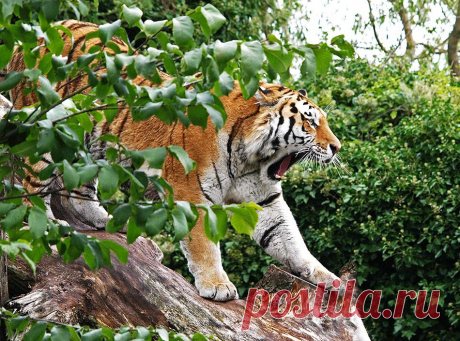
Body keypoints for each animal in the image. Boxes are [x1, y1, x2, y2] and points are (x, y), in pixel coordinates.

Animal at [8, 19, 342, 300]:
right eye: (311, 121)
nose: (337, 147)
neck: (251, 158)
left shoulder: (265, 200)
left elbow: (291, 240)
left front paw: (330, 278)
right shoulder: (191, 190)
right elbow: (204, 243)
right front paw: (217, 285)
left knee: (77, 190)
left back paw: (103, 219)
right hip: (48, 131)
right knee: (28, 187)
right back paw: (46, 227)